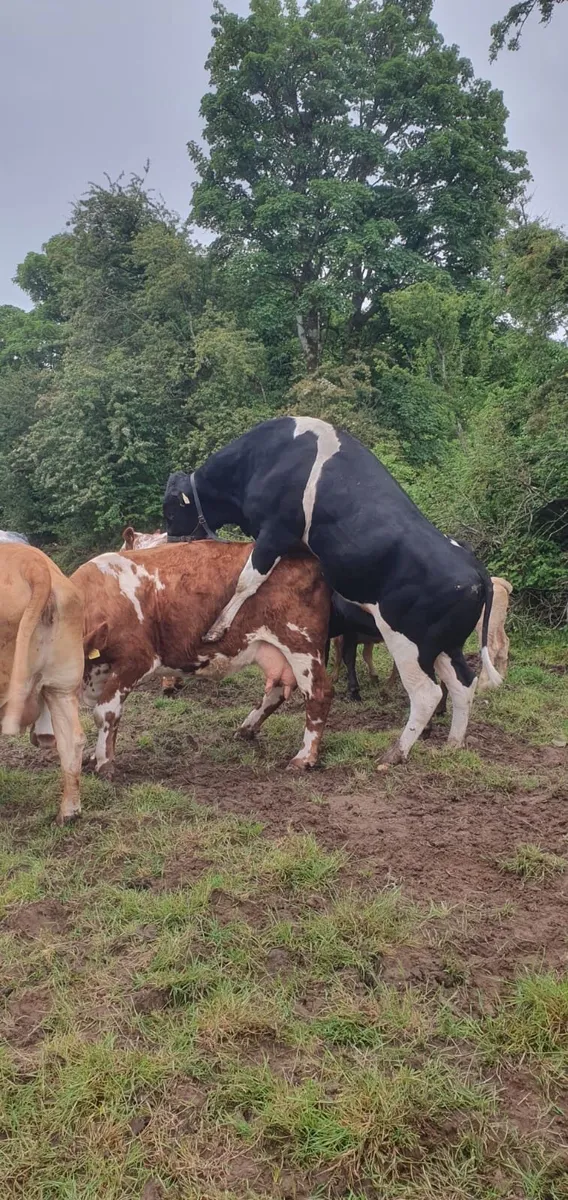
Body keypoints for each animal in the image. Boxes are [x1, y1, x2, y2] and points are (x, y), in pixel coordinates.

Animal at [68, 542, 332, 779]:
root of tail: (306, 557)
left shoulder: (134, 661)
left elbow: (106, 712)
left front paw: (104, 763)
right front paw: (95, 756)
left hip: (301, 644)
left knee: (318, 694)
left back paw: (304, 757)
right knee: (278, 689)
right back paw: (247, 728)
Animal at [163, 417, 503, 767]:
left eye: (171, 511)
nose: (171, 543)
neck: (267, 458)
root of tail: (475, 569)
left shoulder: (275, 532)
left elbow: (249, 578)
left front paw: (217, 627)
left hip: (409, 642)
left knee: (427, 693)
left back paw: (394, 753)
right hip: (446, 646)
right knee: (463, 683)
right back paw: (453, 743)